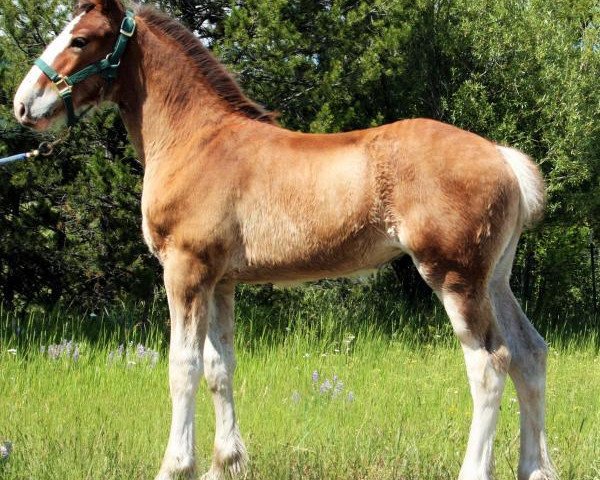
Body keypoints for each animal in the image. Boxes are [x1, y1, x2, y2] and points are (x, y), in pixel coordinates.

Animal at [12, 1, 556, 478]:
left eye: (81, 39)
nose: (22, 105)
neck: (195, 140)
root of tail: (502, 156)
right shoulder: (221, 280)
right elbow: (219, 366)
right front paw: (224, 464)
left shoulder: (186, 270)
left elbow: (182, 366)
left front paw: (176, 466)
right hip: (494, 280)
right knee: (529, 354)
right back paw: (534, 468)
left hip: (454, 278)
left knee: (489, 366)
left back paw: (476, 470)